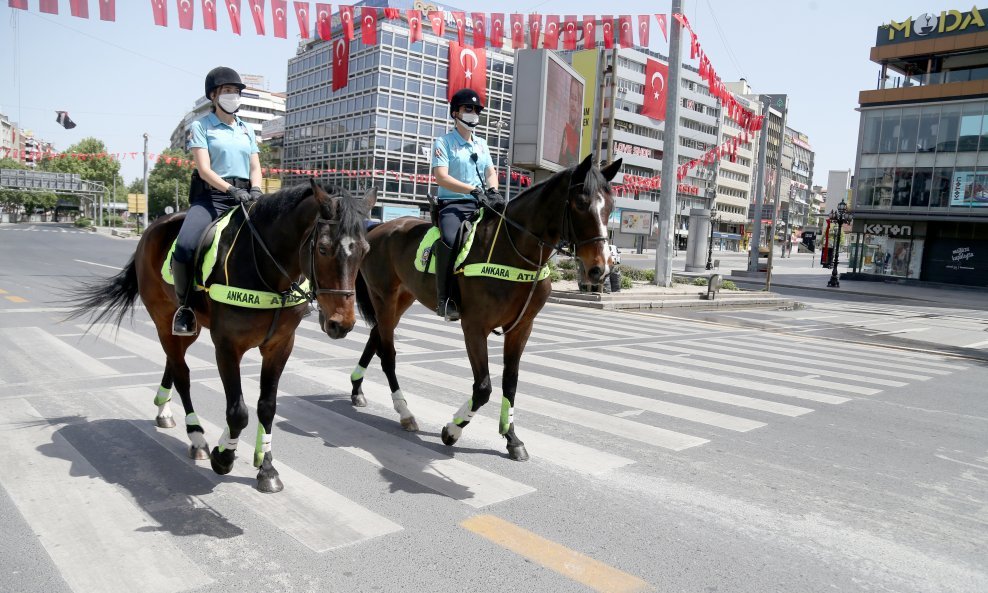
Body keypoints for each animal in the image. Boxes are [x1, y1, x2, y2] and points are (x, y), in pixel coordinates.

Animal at [66, 180, 374, 490]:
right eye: (322, 248)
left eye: (366, 250)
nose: (342, 323)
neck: (265, 269)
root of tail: (154, 226)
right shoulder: (226, 346)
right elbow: (237, 412)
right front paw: (224, 456)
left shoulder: (281, 345)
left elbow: (267, 407)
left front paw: (266, 466)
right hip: (164, 320)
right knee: (182, 375)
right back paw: (196, 437)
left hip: (187, 328)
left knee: (172, 361)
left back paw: (164, 410)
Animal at [352, 156, 620, 458]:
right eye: (581, 204)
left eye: (611, 206)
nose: (601, 268)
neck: (513, 250)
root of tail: (378, 227)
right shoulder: (474, 328)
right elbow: (483, 388)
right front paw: (452, 430)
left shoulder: (521, 329)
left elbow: (510, 383)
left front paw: (512, 438)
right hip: (383, 299)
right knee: (387, 354)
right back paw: (404, 411)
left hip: (401, 299)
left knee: (375, 338)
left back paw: (357, 389)